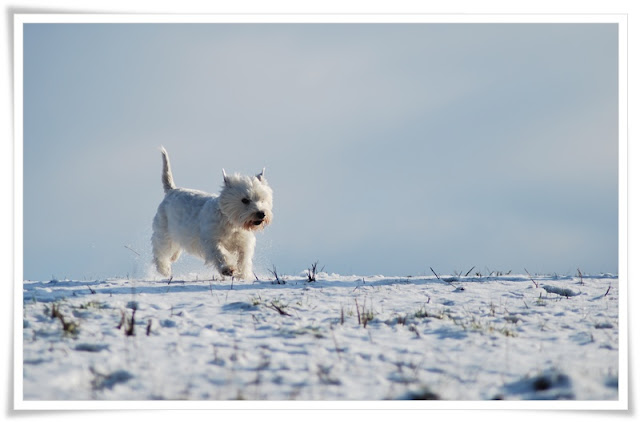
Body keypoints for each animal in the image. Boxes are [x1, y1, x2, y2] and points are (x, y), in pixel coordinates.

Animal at [152, 148, 272, 280]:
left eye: (262, 199)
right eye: (244, 200)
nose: (261, 214)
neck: (231, 223)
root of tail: (171, 190)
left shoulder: (244, 243)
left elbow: (243, 259)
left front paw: (243, 275)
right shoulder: (211, 240)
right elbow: (220, 253)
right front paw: (228, 269)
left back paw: (173, 258)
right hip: (164, 231)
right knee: (160, 251)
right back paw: (164, 270)